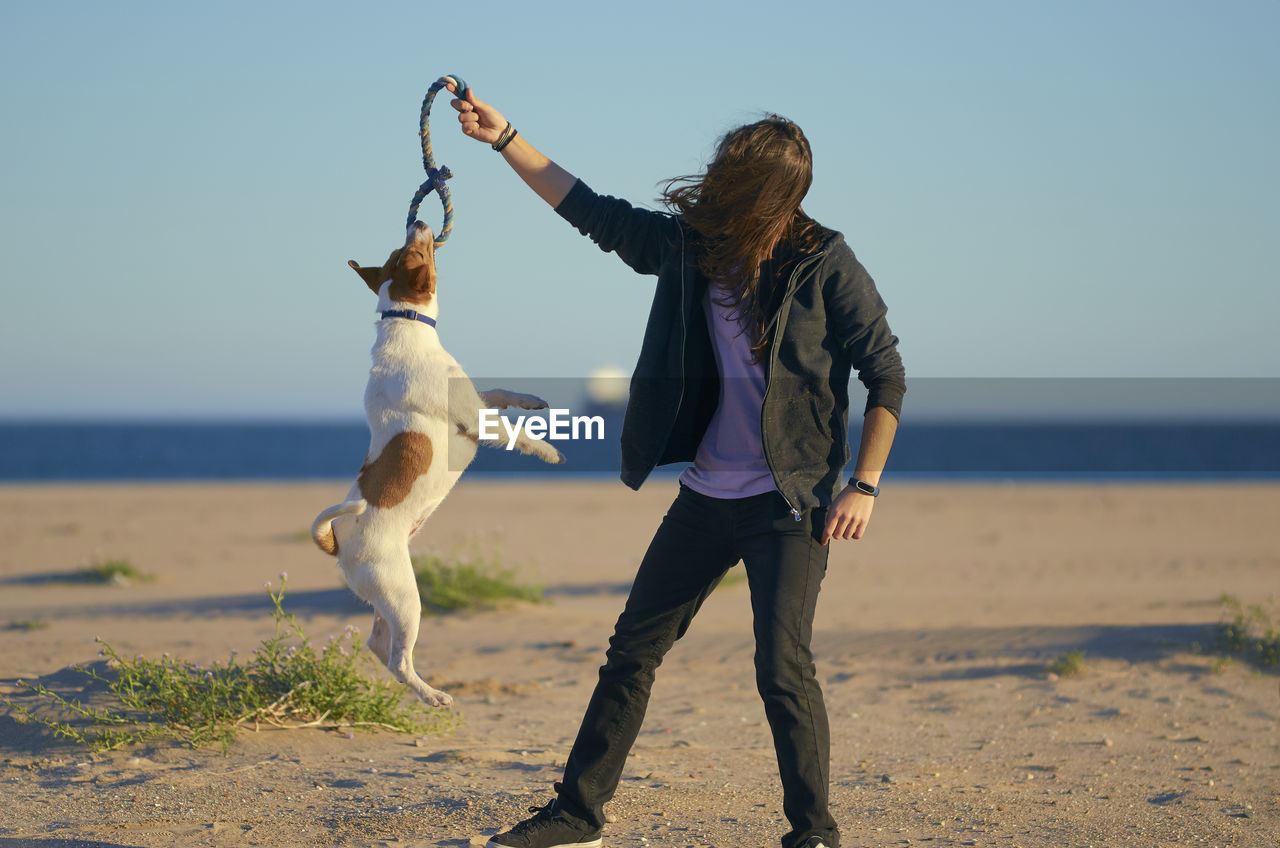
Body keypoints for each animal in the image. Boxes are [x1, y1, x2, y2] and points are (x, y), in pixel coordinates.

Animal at [308, 222, 560, 707]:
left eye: (400, 247)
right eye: (416, 249)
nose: (419, 223)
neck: (403, 324)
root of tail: (337, 542)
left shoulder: (476, 398)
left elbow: (501, 392)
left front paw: (532, 400)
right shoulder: (477, 420)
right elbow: (516, 433)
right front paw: (547, 450)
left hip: (388, 600)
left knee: (378, 644)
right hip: (406, 599)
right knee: (398, 661)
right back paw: (433, 696)